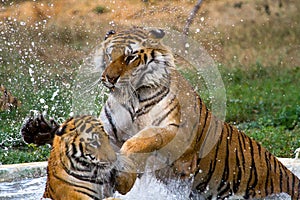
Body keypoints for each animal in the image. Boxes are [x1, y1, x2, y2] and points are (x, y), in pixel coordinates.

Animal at [21, 27, 300, 199]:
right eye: (109, 55)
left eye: (130, 57)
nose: (108, 79)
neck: (131, 95)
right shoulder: (108, 132)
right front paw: (37, 128)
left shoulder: (173, 131)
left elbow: (139, 141)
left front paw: (124, 178)